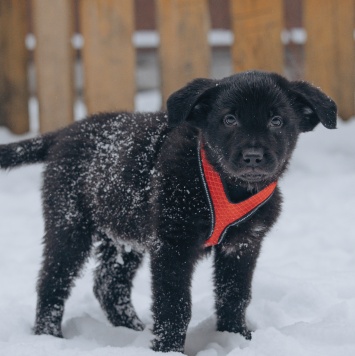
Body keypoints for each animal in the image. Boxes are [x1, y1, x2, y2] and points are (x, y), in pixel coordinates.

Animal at [0, 71, 336, 352]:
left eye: (277, 121)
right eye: (229, 119)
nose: (253, 157)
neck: (224, 183)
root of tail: (65, 132)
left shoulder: (243, 244)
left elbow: (234, 297)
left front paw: (236, 338)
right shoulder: (173, 245)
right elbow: (175, 305)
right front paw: (168, 349)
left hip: (123, 233)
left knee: (109, 283)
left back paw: (131, 330)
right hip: (69, 224)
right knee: (53, 281)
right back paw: (48, 336)